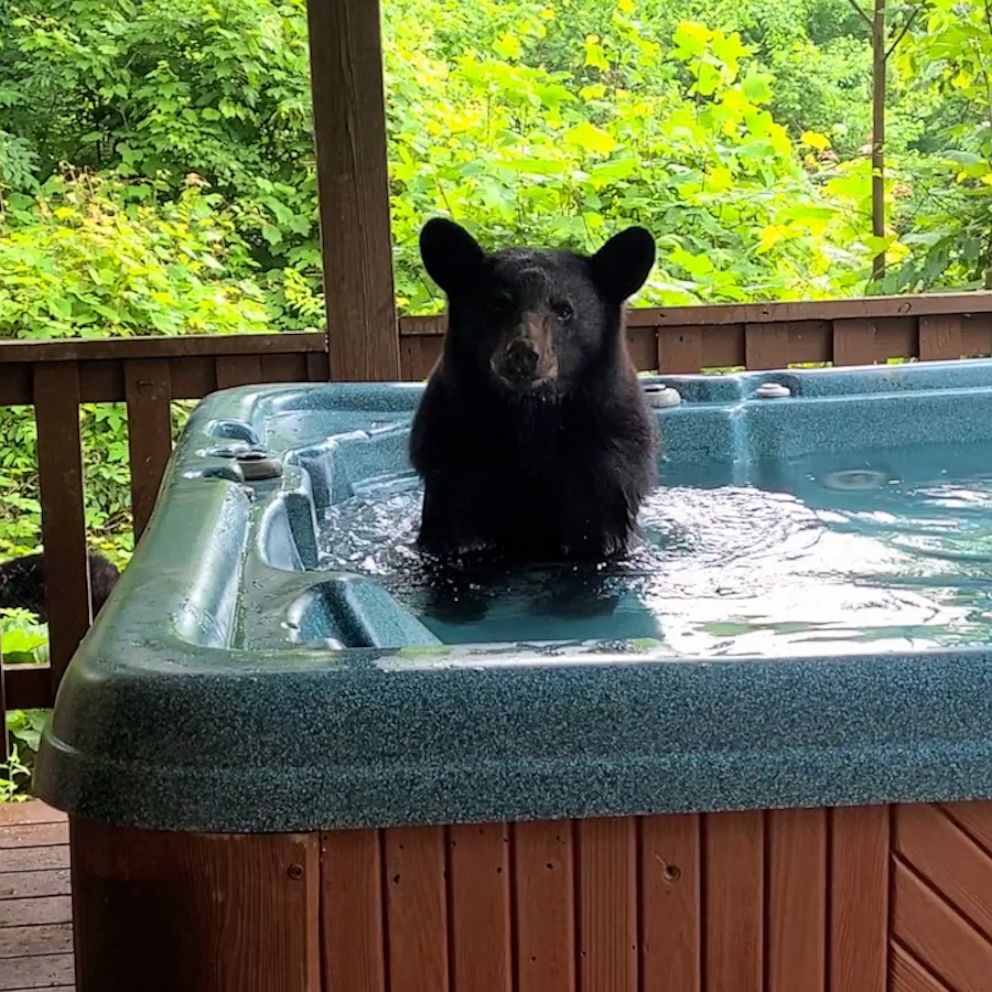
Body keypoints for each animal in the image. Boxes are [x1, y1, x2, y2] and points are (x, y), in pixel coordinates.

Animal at [408, 220, 660, 560]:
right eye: (498, 303)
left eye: (564, 310)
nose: (523, 354)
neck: (530, 417)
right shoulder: (454, 463)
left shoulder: (605, 469)